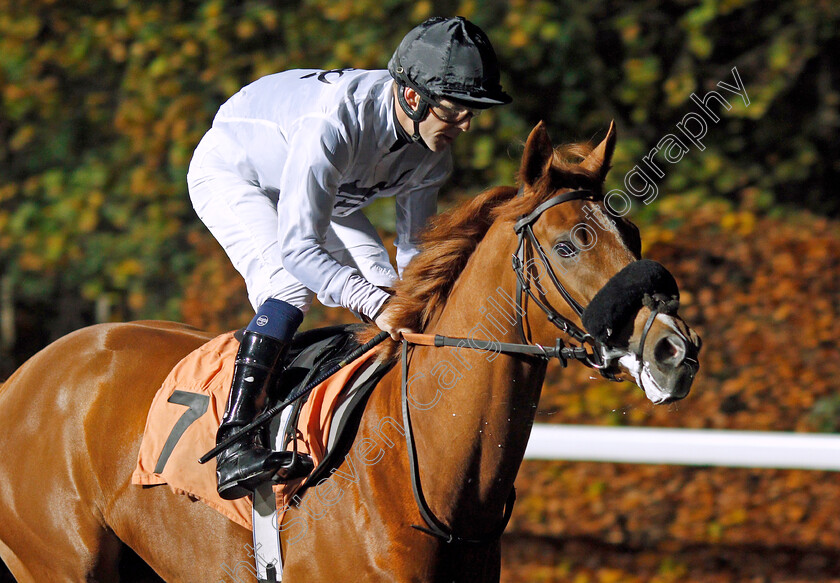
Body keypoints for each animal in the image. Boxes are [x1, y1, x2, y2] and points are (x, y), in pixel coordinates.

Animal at [0, 121, 704, 580]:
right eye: (570, 243)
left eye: (631, 234)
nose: (675, 349)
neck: (427, 476)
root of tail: (24, 376)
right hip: (57, 561)